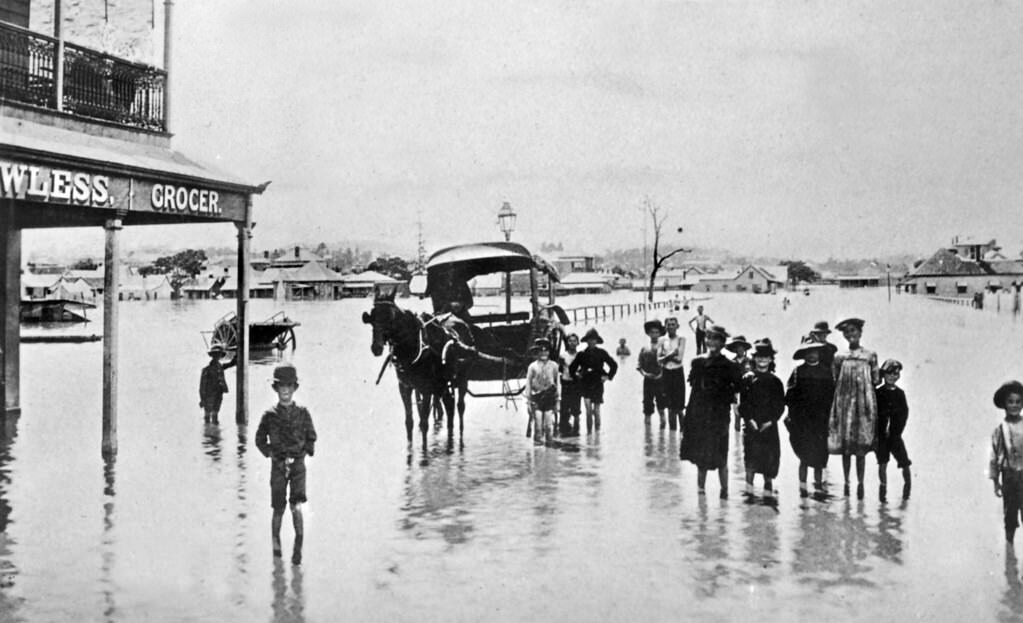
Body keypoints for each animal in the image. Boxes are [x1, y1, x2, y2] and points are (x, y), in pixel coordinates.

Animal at [360, 290, 470, 441]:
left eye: (390, 317)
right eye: (372, 317)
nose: (376, 347)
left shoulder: (426, 388)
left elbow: (424, 422)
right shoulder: (405, 387)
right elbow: (409, 421)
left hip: (461, 379)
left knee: (460, 406)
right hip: (442, 383)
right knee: (449, 404)